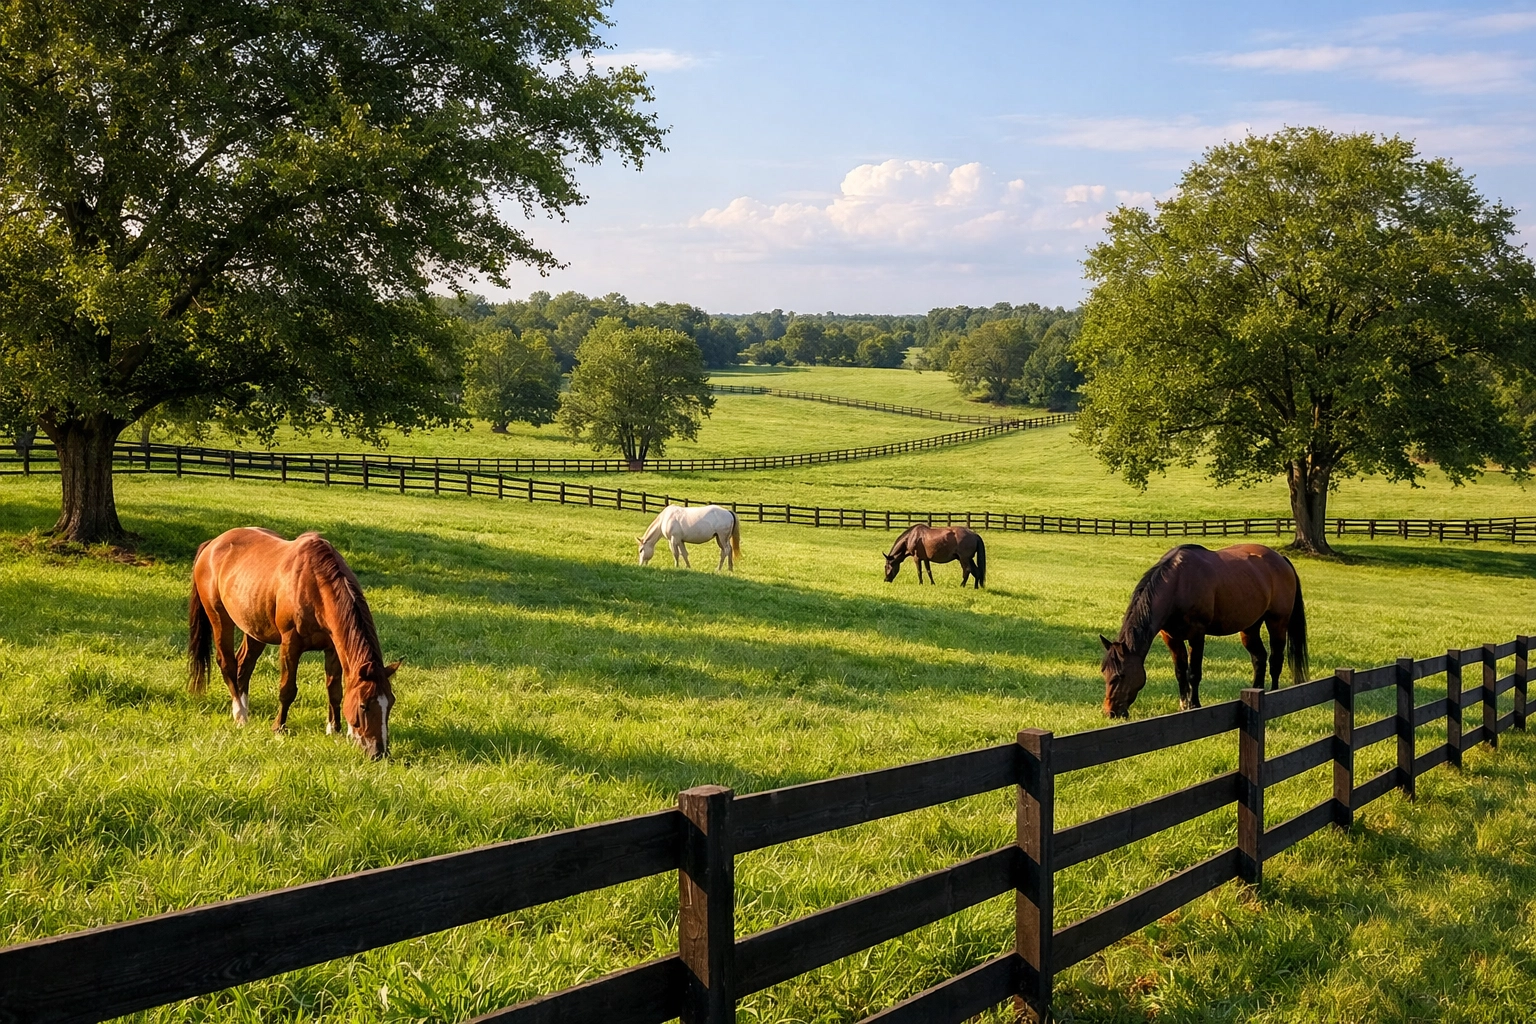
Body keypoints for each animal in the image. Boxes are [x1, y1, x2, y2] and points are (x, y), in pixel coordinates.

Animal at [188, 528, 399, 759]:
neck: (315, 584)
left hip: (254, 628)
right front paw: (278, 729)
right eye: (363, 705)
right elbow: (287, 689)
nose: (379, 752)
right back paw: (240, 715)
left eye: (390, 703)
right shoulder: (290, 644)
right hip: (220, 619)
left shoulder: (332, 648)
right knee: (227, 663)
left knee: (244, 665)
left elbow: (334, 690)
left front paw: (333, 730)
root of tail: (212, 544)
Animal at [1099, 543, 1307, 718]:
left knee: (1275, 659)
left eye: (1120, 675)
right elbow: (1180, 672)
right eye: (1105, 673)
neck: (1178, 583)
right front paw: (1183, 705)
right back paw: (1257, 690)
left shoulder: (1197, 635)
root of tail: (1281, 558)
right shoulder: (1171, 638)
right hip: (1250, 628)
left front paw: (1195, 705)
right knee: (1259, 658)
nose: (1110, 712)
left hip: (1277, 623)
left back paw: (1274, 694)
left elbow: (1194, 672)